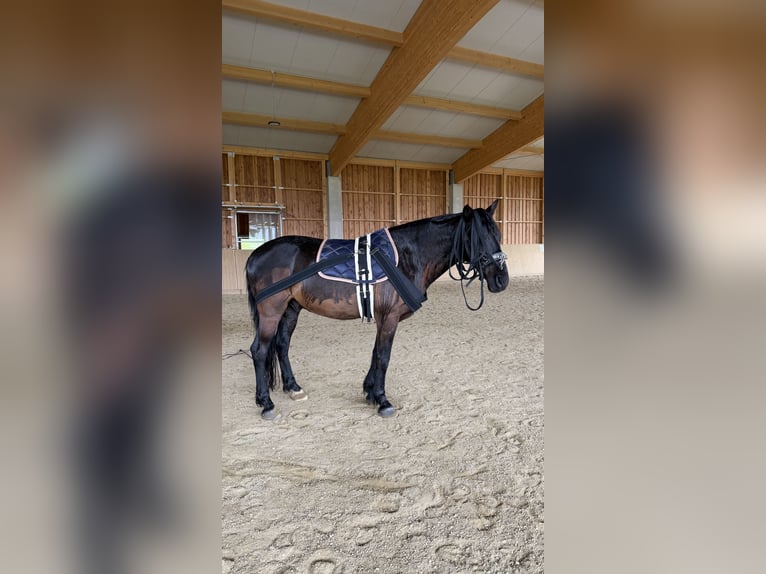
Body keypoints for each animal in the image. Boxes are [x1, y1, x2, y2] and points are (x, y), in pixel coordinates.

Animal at [244, 200, 509, 419]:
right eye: (477, 237)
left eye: (497, 233)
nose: (502, 280)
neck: (407, 255)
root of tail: (255, 255)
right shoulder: (389, 316)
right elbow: (383, 356)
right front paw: (382, 400)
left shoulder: (383, 318)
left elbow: (375, 353)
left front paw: (369, 392)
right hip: (271, 311)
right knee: (259, 350)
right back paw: (266, 403)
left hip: (291, 308)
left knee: (282, 345)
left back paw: (293, 387)